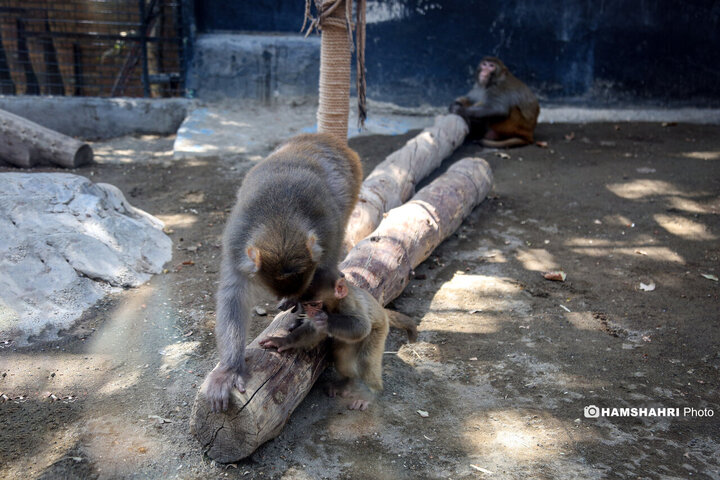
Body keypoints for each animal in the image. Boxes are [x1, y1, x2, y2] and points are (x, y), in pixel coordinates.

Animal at [202, 132, 362, 412]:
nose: (296, 299)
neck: (280, 220)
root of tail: (320, 137)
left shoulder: (328, 233)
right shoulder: (237, 244)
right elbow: (234, 296)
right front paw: (229, 371)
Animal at [258, 272, 416, 410]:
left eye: (314, 304)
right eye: (306, 304)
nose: (311, 312)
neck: (332, 305)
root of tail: (382, 311)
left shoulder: (347, 302)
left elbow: (362, 326)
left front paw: (325, 320)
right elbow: (313, 331)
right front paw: (283, 341)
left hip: (379, 330)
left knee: (366, 359)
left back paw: (371, 392)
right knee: (342, 355)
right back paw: (347, 383)